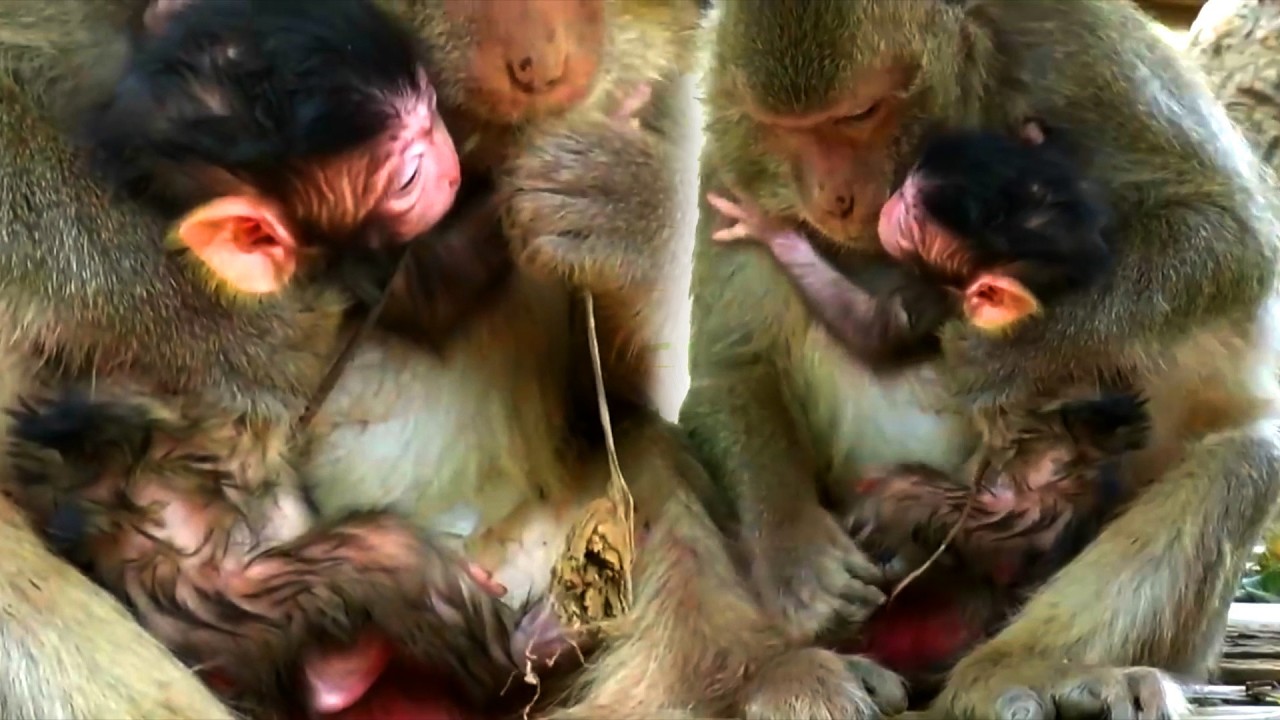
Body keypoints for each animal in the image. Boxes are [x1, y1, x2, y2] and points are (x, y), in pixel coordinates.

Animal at [0, 1, 910, 719]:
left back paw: (747, 674)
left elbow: (621, 379)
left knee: (644, 472)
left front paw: (622, 195)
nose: (542, 64)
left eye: (433, 113)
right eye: (406, 167)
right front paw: (222, 330)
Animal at [687, 1, 1280, 717]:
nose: (832, 198)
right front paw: (797, 559)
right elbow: (732, 364)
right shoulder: (730, 142)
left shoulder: (1074, 42)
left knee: (1245, 460)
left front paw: (1000, 359)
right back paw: (795, 674)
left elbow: (1227, 236)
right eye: (787, 129)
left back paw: (1021, 669)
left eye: (858, 115)